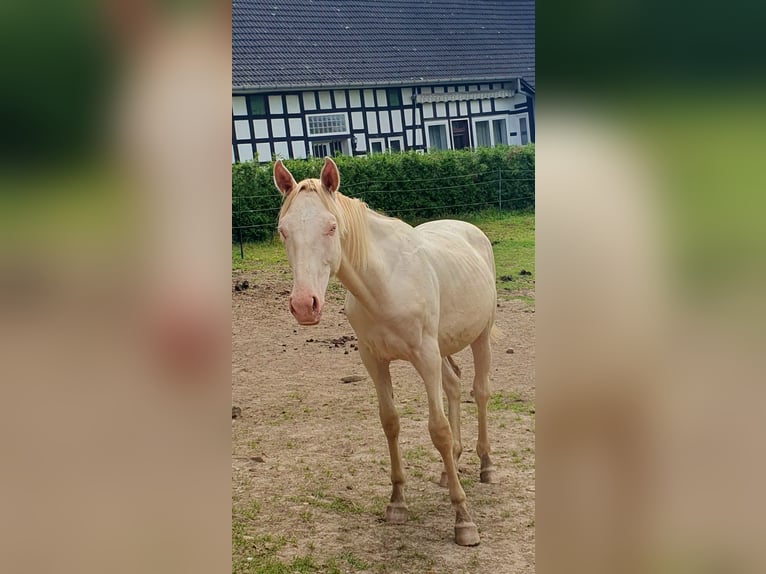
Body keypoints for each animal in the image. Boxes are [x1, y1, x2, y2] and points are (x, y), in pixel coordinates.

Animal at [272, 159, 500, 548]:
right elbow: (390, 422)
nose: (304, 305)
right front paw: (397, 503)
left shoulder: (425, 357)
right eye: (284, 231)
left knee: (479, 392)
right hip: (442, 348)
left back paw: (485, 465)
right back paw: (449, 468)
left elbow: (438, 429)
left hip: (479, 335)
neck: (385, 283)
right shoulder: (374, 361)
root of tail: (471, 231)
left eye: (332, 227)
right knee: (454, 386)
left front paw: (463, 520)